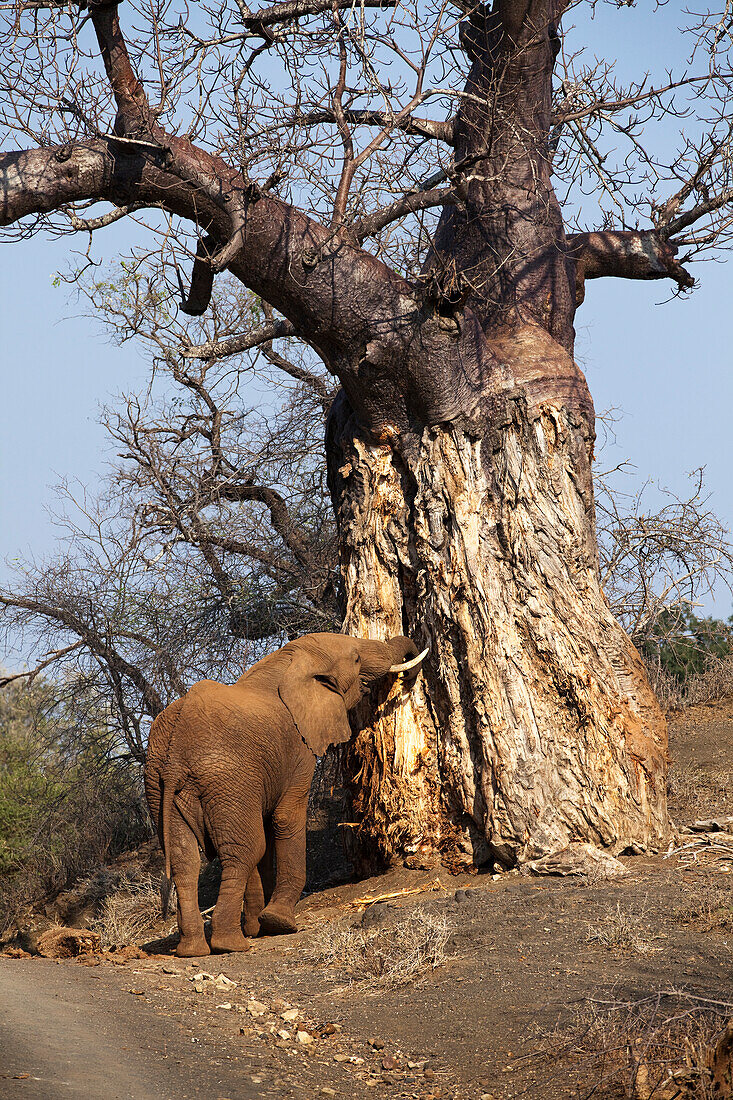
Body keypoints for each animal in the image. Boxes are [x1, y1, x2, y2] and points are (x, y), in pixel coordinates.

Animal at [143, 633, 424, 959]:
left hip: (159, 786)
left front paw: (258, 927)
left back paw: (193, 951)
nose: (408, 679)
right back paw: (230, 945)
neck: (289, 659)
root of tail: (175, 752)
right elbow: (285, 819)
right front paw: (279, 923)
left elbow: (265, 830)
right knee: (244, 851)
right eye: (355, 659)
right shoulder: (299, 748)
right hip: (225, 779)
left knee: (185, 861)